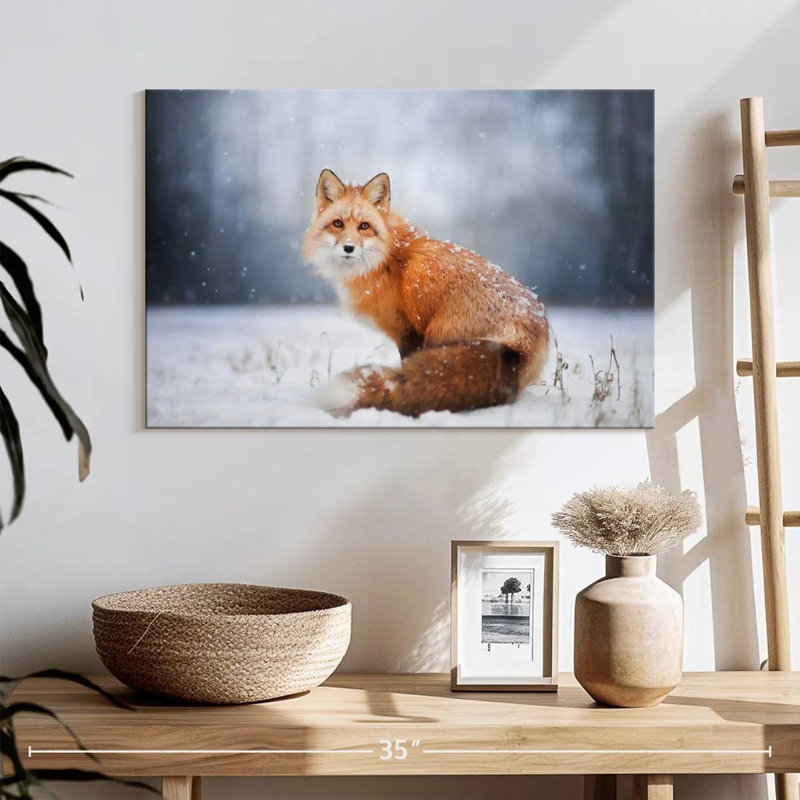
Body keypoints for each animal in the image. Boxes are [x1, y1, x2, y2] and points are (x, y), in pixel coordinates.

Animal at [301, 169, 548, 417]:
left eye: (364, 226)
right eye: (338, 223)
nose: (349, 248)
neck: (386, 259)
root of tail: (523, 341)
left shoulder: (408, 331)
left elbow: (404, 367)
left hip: (437, 335)